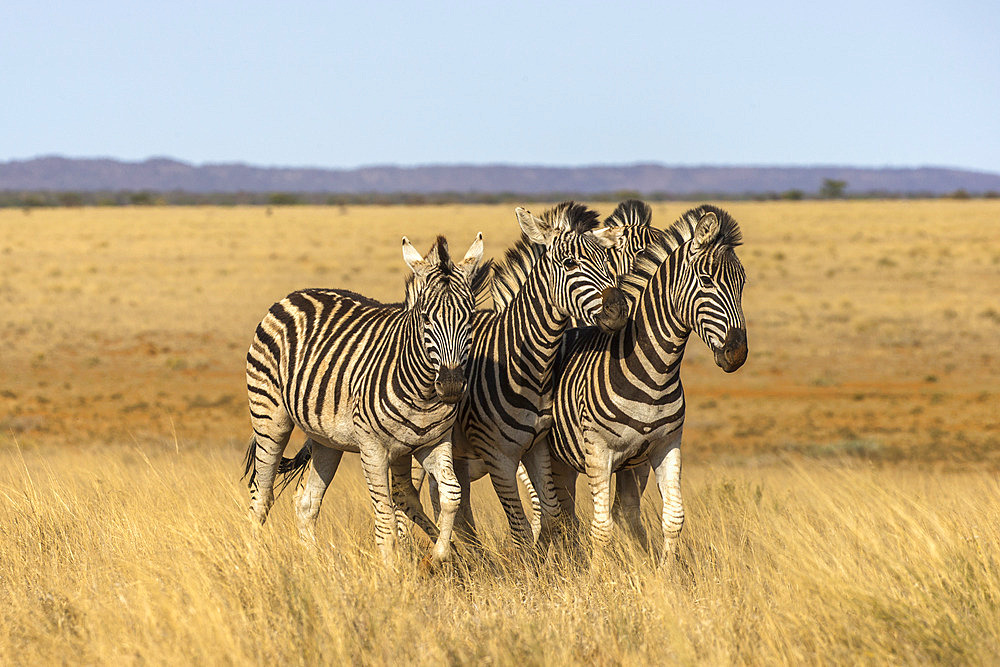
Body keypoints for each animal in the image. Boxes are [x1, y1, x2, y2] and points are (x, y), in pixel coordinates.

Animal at [246, 232, 488, 568]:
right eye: (425, 317)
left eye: (470, 317)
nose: (452, 386)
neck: (424, 394)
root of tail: (295, 295)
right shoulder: (372, 448)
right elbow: (385, 515)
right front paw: (390, 571)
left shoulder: (433, 443)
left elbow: (451, 494)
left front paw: (438, 555)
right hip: (270, 416)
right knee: (262, 494)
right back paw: (253, 562)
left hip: (327, 440)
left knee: (307, 502)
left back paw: (317, 565)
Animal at [446, 202, 624, 552]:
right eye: (569, 263)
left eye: (607, 263)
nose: (619, 309)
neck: (527, 365)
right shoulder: (499, 457)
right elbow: (521, 530)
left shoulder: (537, 446)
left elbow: (553, 516)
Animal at [544, 202, 748, 564]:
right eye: (706, 280)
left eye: (743, 283)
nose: (737, 353)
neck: (657, 372)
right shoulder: (599, 451)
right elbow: (602, 529)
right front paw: (597, 576)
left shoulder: (666, 445)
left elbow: (673, 517)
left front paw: (664, 572)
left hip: (577, 462)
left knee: (571, 515)